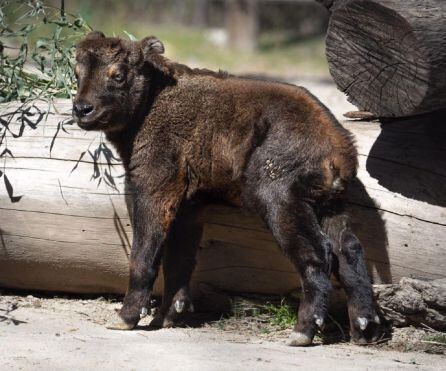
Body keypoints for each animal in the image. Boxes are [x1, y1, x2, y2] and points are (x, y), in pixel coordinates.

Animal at [72, 31, 380, 346]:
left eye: (118, 75)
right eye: (77, 73)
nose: (82, 109)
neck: (152, 102)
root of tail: (339, 150)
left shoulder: (155, 189)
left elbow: (144, 254)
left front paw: (126, 318)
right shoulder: (189, 204)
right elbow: (178, 259)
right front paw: (169, 315)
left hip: (280, 200)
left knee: (318, 256)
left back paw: (303, 331)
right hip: (328, 206)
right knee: (349, 250)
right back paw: (364, 328)